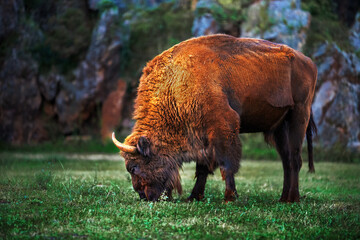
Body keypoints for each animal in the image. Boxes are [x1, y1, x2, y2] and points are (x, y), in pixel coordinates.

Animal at [113, 33, 318, 202]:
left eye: (133, 167)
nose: (144, 196)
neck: (175, 85)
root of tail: (308, 62)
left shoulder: (223, 126)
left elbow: (226, 164)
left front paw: (229, 197)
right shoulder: (201, 137)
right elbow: (202, 169)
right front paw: (194, 197)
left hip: (298, 115)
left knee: (294, 159)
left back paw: (292, 199)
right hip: (280, 127)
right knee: (286, 161)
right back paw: (283, 198)